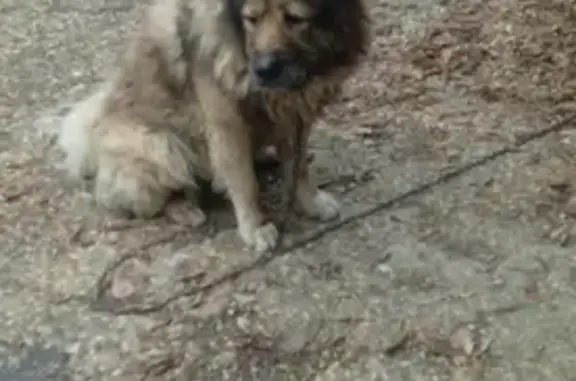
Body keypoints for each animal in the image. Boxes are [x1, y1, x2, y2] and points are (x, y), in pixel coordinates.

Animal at [58, 0, 372, 251]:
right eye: (252, 19)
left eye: (295, 19)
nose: (264, 70)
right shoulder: (227, 123)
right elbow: (245, 183)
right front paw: (255, 229)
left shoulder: (295, 116)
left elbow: (298, 168)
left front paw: (310, 201)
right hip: (159, 146)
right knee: (151, 197)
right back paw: (184, 208)